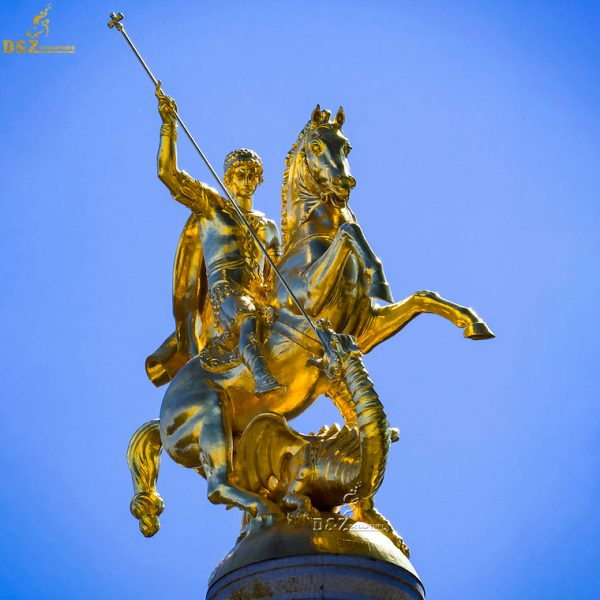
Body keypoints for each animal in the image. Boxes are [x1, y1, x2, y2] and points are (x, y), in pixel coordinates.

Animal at [126, 104, 492, 540]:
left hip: (228, 436)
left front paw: (473, 323)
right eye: (316, 145)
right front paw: (376, 270)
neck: (309, 243)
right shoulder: (309, 307)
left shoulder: (363, 331)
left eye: (345, 145)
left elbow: (423, 297)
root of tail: (163, 413)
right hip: (210, 417)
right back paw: (268, 509)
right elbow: (350, 230)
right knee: (218, 485)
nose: (344, 184)